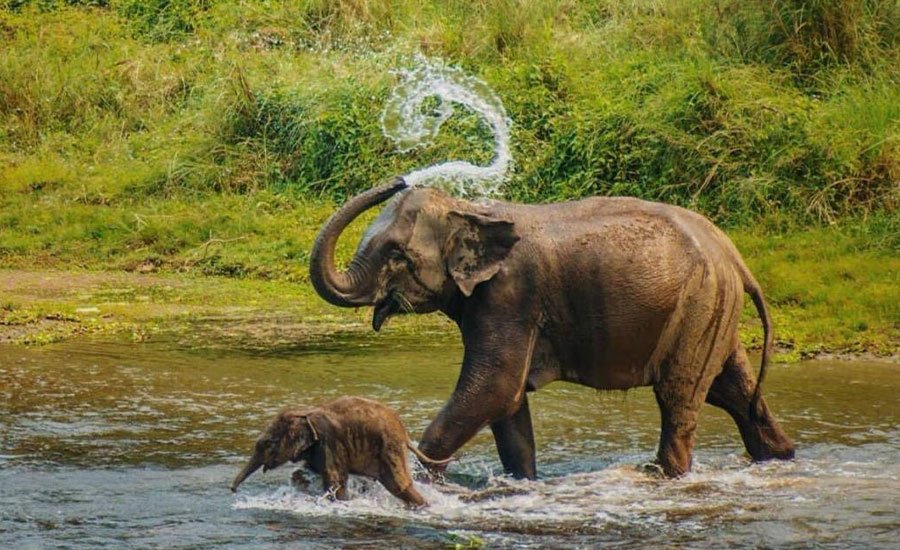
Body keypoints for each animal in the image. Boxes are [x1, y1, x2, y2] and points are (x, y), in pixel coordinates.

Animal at [230, 396, 450, 506]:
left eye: (270, 443)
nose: (232, 490)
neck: (305, 412)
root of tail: (404, 433)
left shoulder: (329, 442)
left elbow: (335, 481)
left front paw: (338, 502)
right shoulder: (316, 448)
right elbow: (303, 472)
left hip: (390, 447)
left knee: (399, 485)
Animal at [309, 178, 796, 479]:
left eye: (396, 254)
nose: (401, 178)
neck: (472, 210)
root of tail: (734, 255)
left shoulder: (509, 296)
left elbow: (495, 389)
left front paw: (424, 478)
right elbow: (507, 404)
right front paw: (522, 482)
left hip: (696, 308)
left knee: (680, 398)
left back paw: (661, 475)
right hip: (712, 311)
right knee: (734, 393)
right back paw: (779, 457)